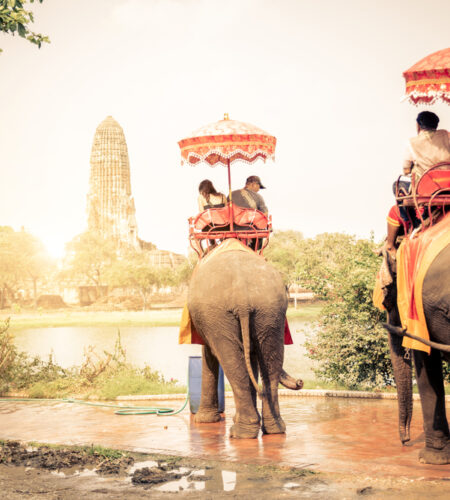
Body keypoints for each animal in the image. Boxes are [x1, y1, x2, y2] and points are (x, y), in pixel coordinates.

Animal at [186, 244, 302, 440]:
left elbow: (210, 353)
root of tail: (242, 297)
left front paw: (203, 421)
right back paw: (273, 429)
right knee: (270, 358)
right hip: (270, 311)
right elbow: (252, 357)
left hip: (220, 315)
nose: (300, 382)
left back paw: (241, 433)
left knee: (230, 359)